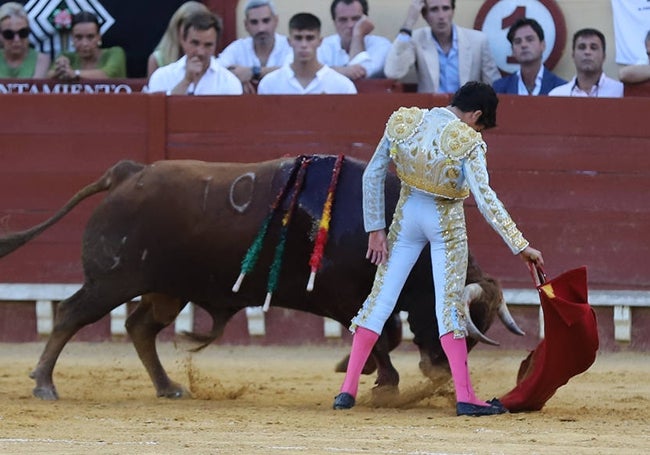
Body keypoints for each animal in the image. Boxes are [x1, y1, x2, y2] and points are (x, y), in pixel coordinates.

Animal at [0, 155, 520, 400]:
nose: (440, 371)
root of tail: (128, 174)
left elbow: (384, 334)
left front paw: (365, 372)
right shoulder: (340, 297)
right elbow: (379, 335)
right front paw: (383, 380)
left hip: (165, 290)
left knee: (139, 327)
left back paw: (168, 386)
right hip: (112, 281)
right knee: (71, 315)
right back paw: (44, 383)